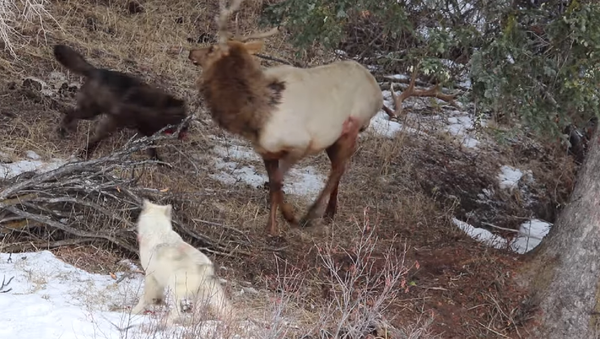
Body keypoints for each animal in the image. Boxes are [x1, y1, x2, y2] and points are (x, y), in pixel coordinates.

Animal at [54, 44, 190, 162]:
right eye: (184, 122)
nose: (187, 132)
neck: (158, 109)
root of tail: (95, 71)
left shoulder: (144, 130)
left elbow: (151, 147)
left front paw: (157, 160)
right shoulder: (115, 121)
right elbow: (99, 137)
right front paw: (86, 152)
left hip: (93, 108)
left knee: (73, 112)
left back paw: (68, 128)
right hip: (91, 109)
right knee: (71, 112)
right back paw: (62, 129)